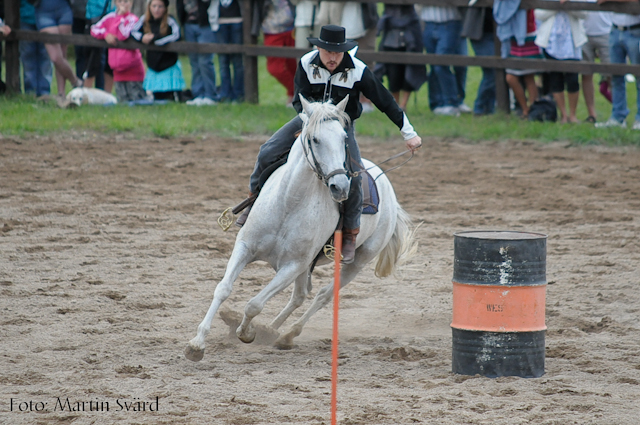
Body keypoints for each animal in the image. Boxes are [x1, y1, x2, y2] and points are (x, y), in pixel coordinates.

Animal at [185, 94, 416, 360]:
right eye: (314, 139)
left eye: (344, 138)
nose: (340, 186)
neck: (288, 203)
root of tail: (388, 188)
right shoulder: (245, 247)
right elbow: (223, 289)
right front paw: (197, 343)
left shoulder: (293, 265)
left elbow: (254, 304)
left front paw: (246, 332)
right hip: (308, 265)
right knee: (300, 295)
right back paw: (271, 329)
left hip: (357, 261)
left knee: (323, 295)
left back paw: (286, 334)